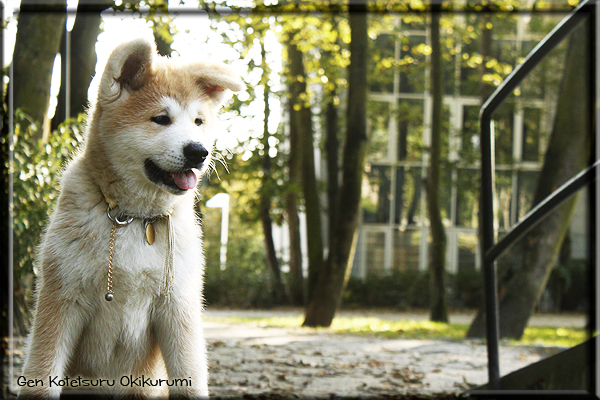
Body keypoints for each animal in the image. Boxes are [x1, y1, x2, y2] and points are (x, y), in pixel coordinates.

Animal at [19, 38, 244, 400]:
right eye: (161, 119)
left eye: (198, 121)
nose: (199, 151)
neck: (136, 218)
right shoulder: (62, 300)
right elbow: (42, 371)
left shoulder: (177, 307)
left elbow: (189, 375)